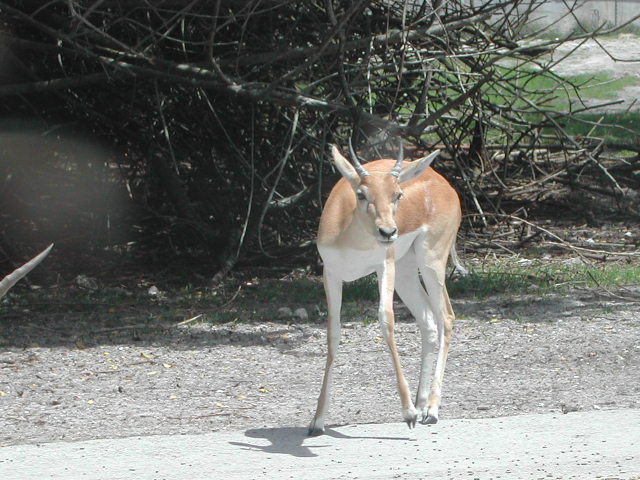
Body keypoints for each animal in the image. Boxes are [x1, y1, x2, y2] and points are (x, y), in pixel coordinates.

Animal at [308, 142, 462, 436]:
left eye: (397, 194)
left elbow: (386, 321)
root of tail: (442, 182)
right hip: (406, 271)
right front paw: (317, 420)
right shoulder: (330, 274)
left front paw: (408, 413)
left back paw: (430, 410)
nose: (388, 232)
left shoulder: (384, 265)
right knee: (428, 320)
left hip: (430, 261)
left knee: (446, 317)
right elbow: (332, 334)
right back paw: (422, 405)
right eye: (361, 194)